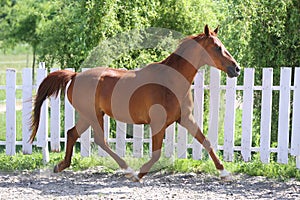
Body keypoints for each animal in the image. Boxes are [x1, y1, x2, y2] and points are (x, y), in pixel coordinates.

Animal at [30, 25, 240, 181]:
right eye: (217, 47)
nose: (236, 68)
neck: (172, 80)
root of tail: (75, 76)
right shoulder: (158, 123)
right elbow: (156, 154)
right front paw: (139, 175)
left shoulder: (186, 118)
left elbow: (206, 141)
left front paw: (225, 173)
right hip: (93, 115)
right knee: (100, 140)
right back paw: (128, 170)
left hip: (89, 115)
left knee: (72, 133)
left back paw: (61, 166)